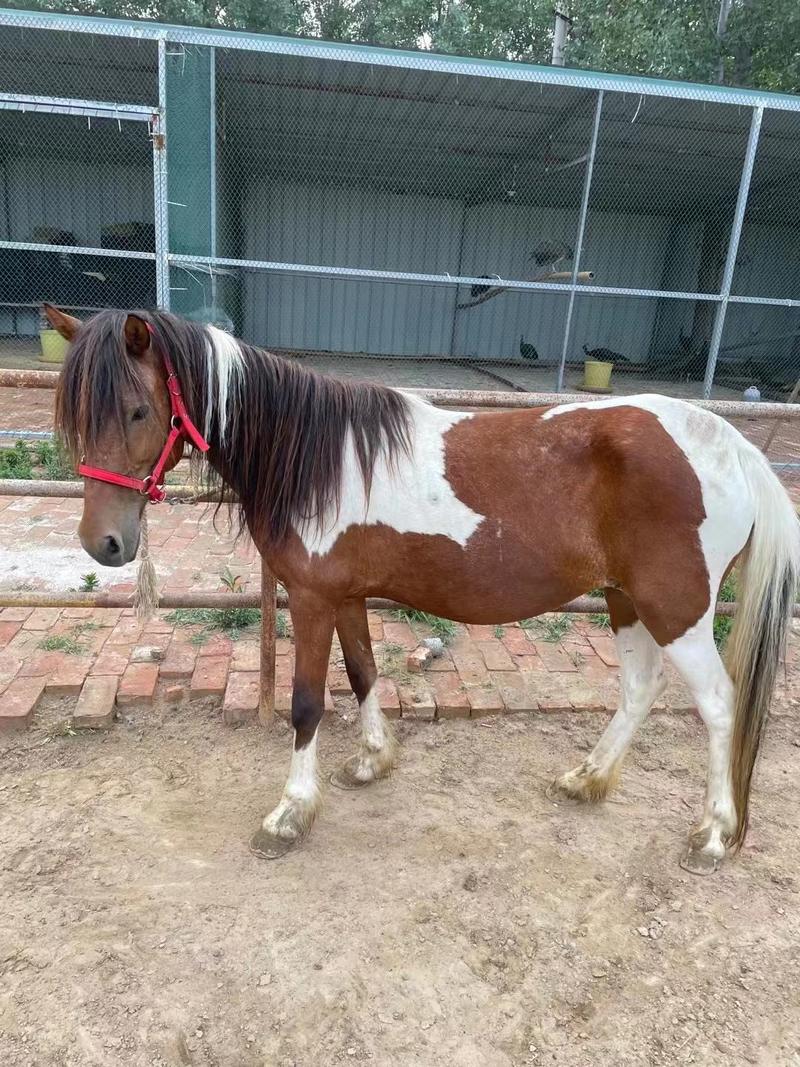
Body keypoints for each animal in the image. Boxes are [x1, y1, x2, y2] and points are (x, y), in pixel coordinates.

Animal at [46, 305, 797, 870]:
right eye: (76, 415)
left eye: (137, 410)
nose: (103, 543)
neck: (317, 455)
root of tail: (731, 445)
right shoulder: (346, 596)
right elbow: (364, 673)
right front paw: (372, 762)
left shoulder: (312, 599)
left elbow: (306, 704)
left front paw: (290, 813)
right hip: (624, 600)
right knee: (640, 690)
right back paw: (587, 779)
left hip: (679, 610)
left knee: (719, 704)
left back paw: (713, 834)